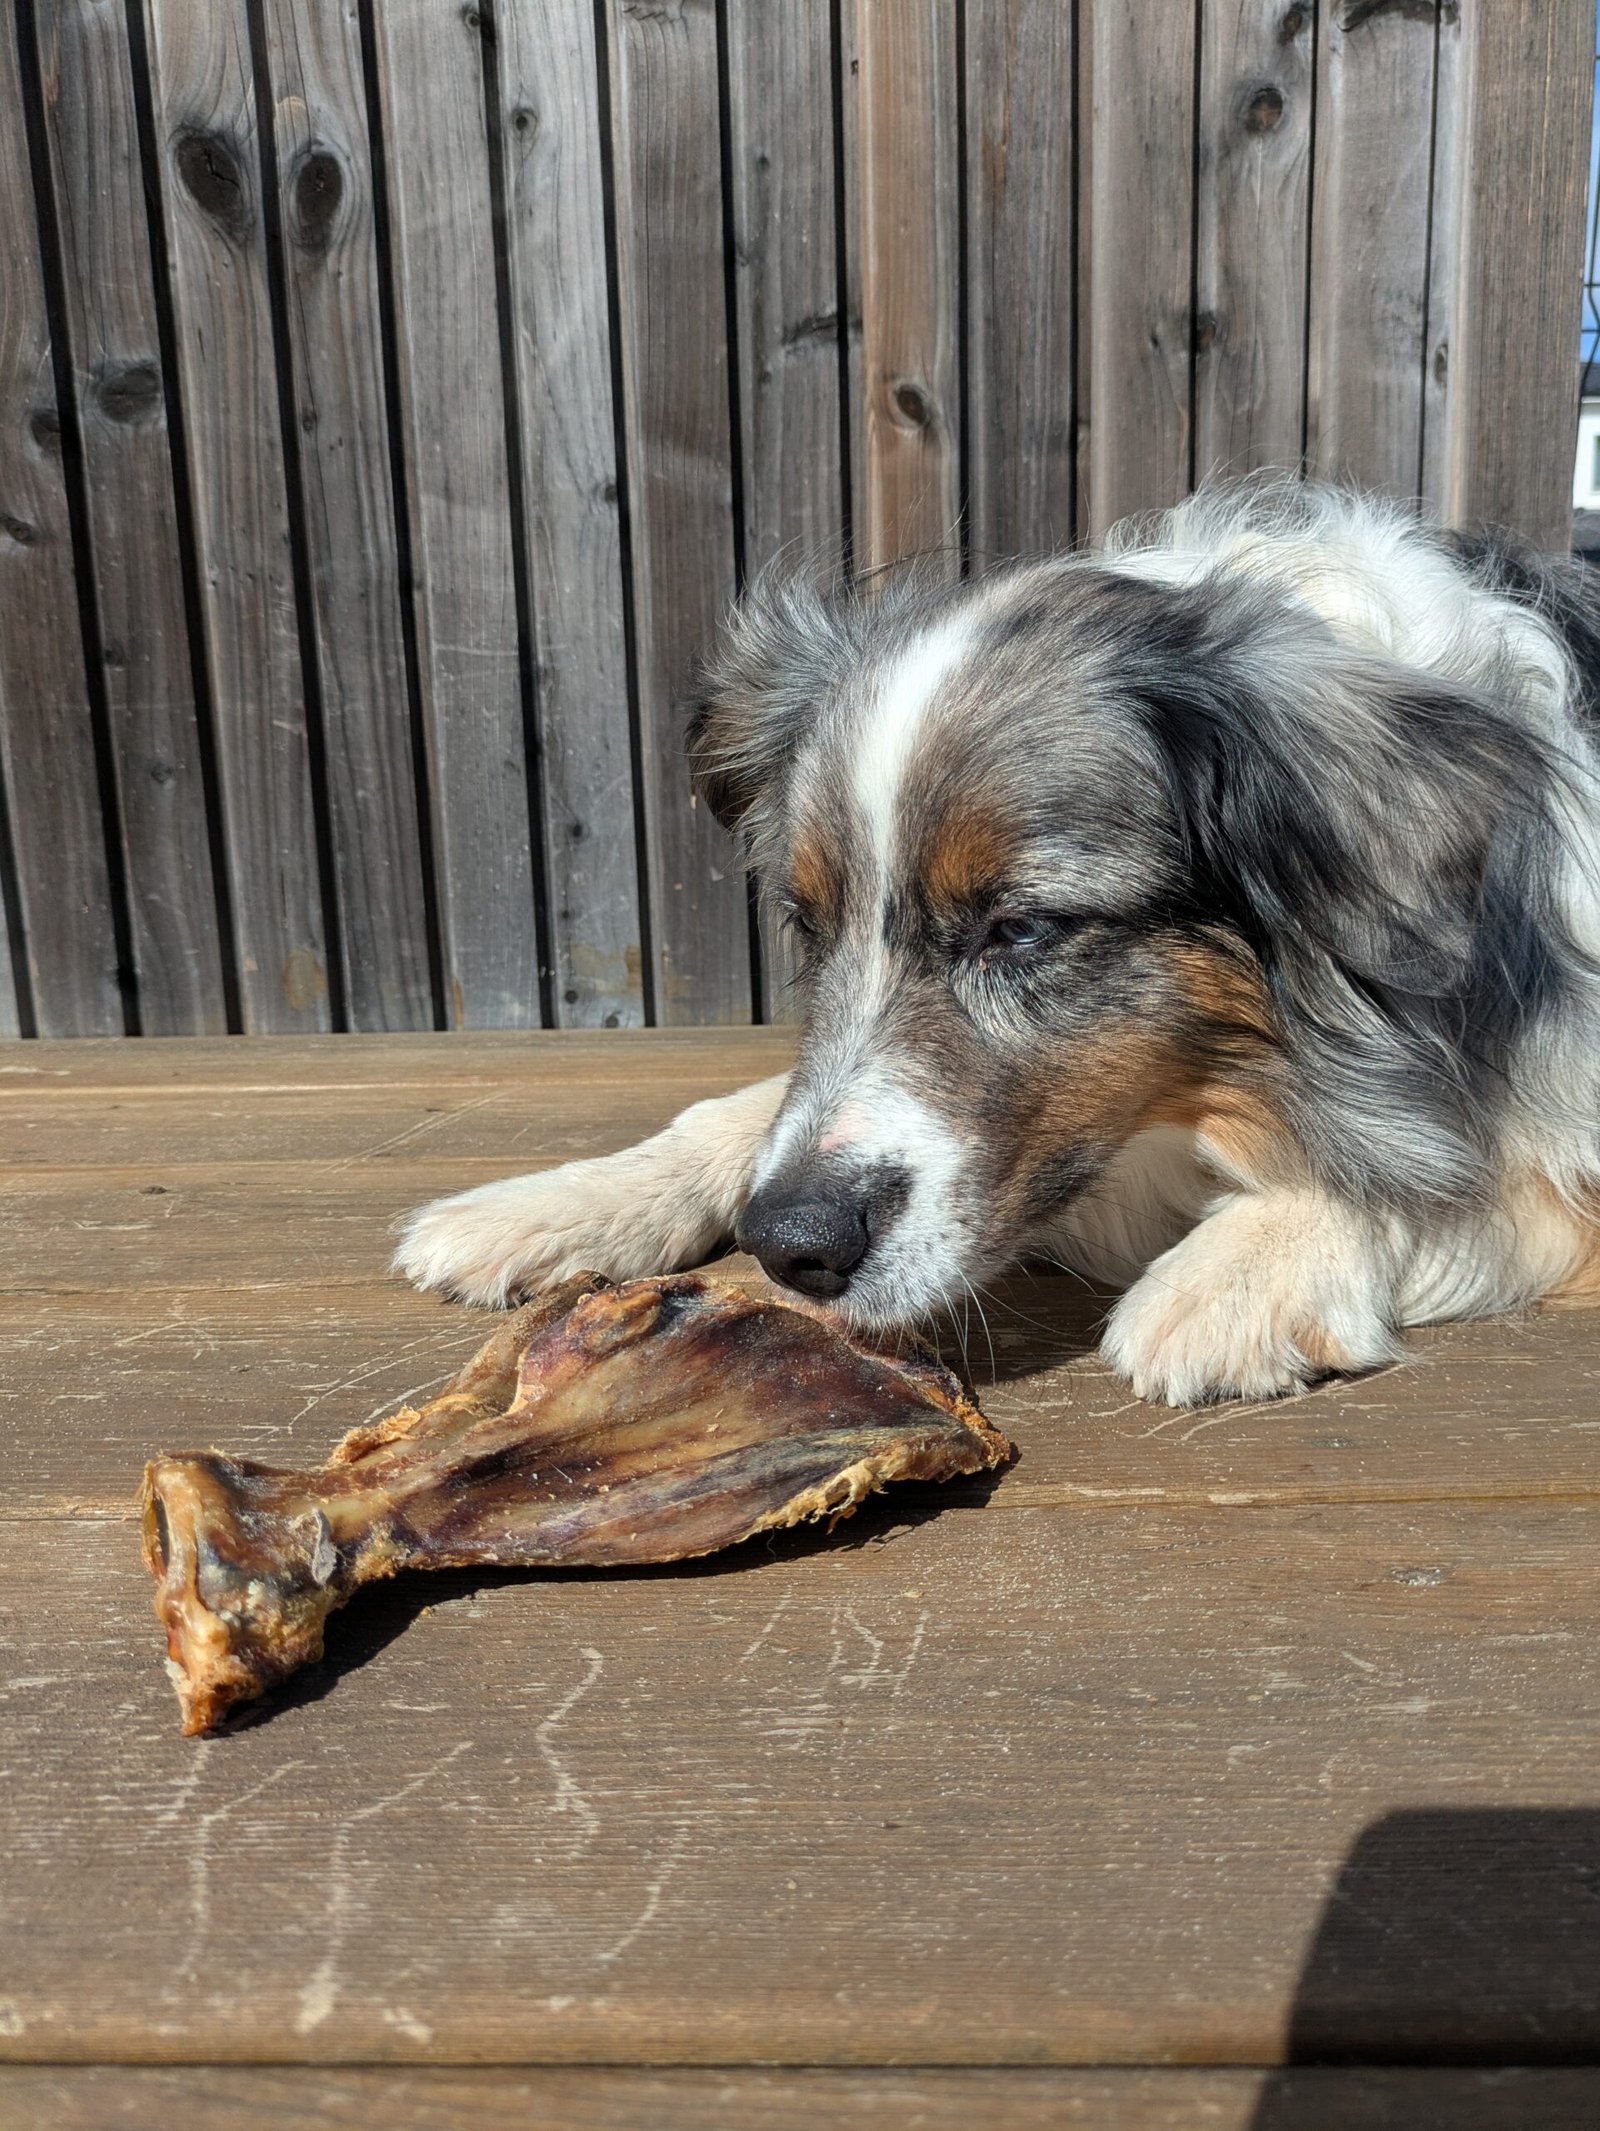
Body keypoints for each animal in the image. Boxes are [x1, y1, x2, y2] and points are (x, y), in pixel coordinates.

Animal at [396, 482, 1600, 1405]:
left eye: (1018, 928)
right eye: (809, 923)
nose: (790, 1244)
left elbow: (1453, 1180)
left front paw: (1246, 1266)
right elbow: (745, 1111)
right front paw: (562, 1200)